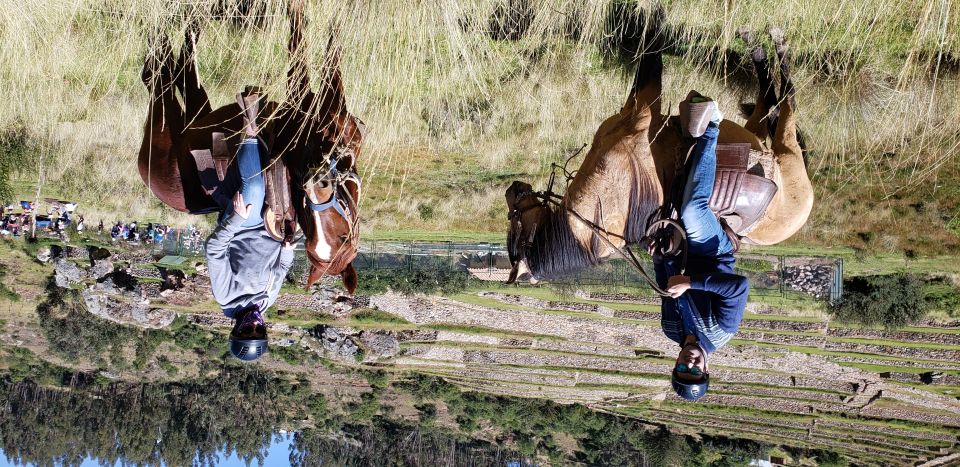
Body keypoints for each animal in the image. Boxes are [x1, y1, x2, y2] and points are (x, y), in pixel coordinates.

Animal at [136, 0, 360, 292]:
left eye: (342, 236)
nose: (318, 181)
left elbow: (313, 58)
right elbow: (310, 54)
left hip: (176, 125)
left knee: (168, 71)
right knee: (175, 66)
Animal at [506, 30, 812, 286]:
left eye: (515, 221)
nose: (512, 189)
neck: (619, 191)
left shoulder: (638, 109)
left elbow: (649, 53)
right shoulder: (643, 111)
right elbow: (651, 53)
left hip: (771, 144)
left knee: (777, 100)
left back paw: (762, 45)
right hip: (781, 151)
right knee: (780, 100)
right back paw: (766, 46)